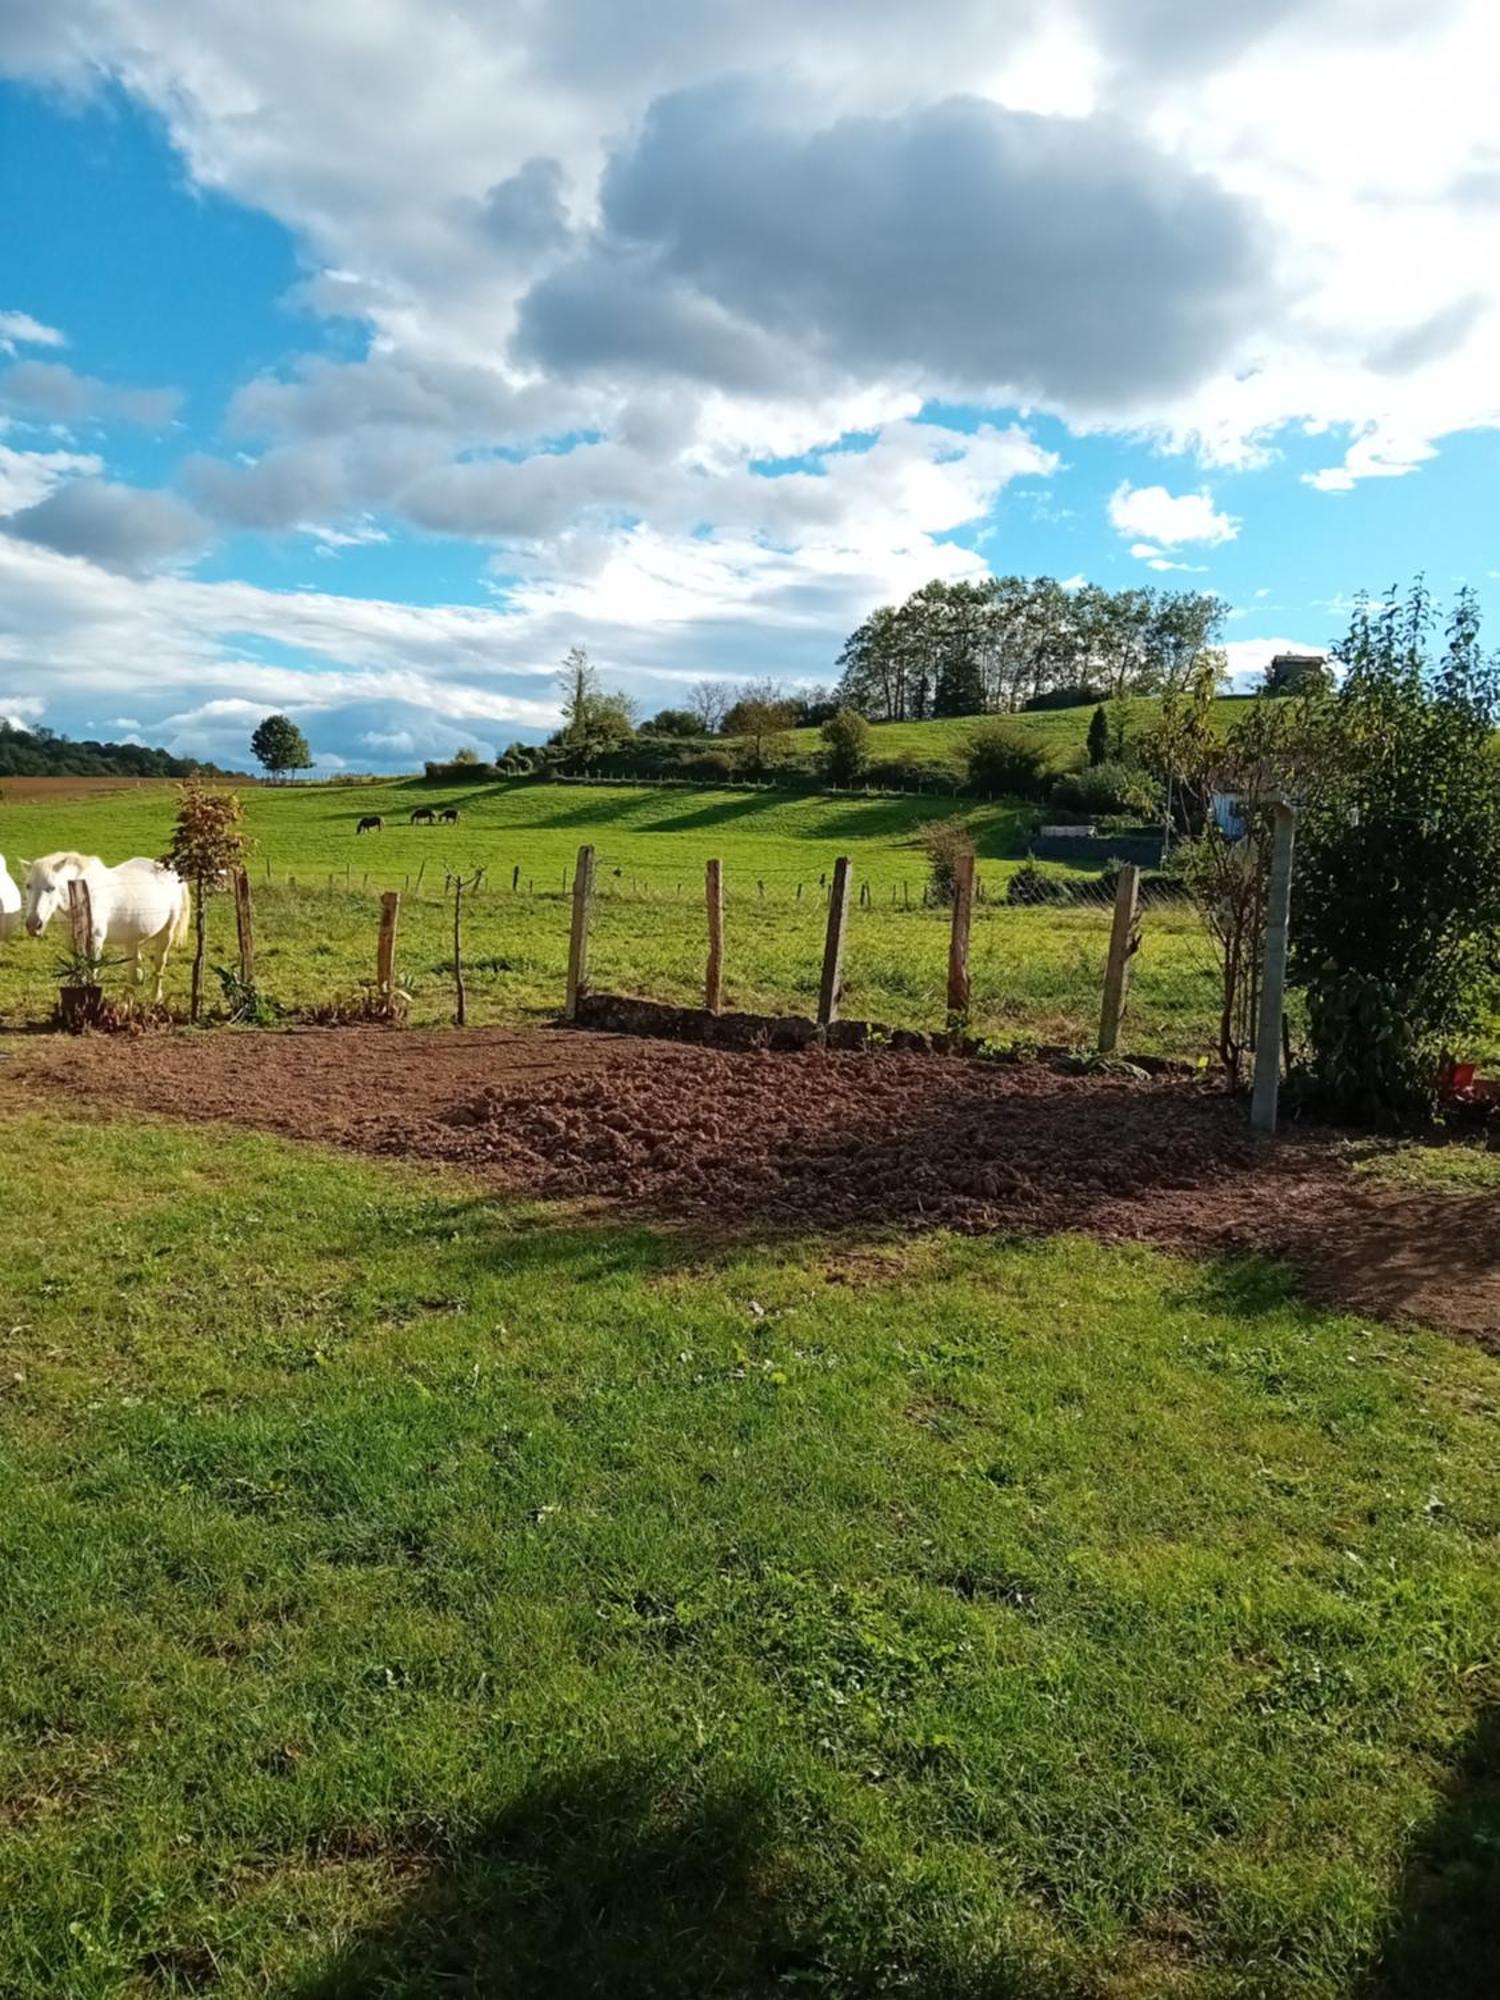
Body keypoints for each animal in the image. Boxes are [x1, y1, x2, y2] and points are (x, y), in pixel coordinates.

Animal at [21, 852, 191, 1000]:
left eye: (52, 887)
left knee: (159, 965)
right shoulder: (71, 940)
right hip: (131, 939)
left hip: (167, 933)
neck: (83, 895)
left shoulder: (96, 940)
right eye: (28, 886)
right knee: (134, 971)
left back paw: (155, 997)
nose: (33, 924)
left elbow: (92, 971)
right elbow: (78, 969)